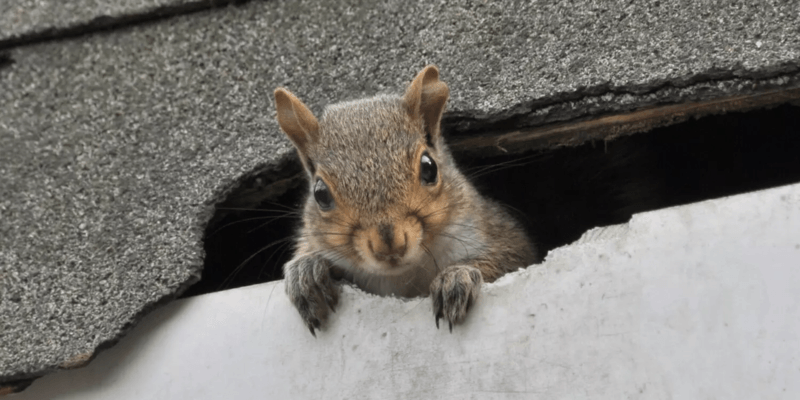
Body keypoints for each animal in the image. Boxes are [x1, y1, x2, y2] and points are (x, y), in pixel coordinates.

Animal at [276, 65, 536, 334]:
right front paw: (305, 272)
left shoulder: (492, 230)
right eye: (320, 194)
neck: (402, 276)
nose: (389, 245)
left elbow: (509, 257)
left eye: (429, 168)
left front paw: (456, 276)